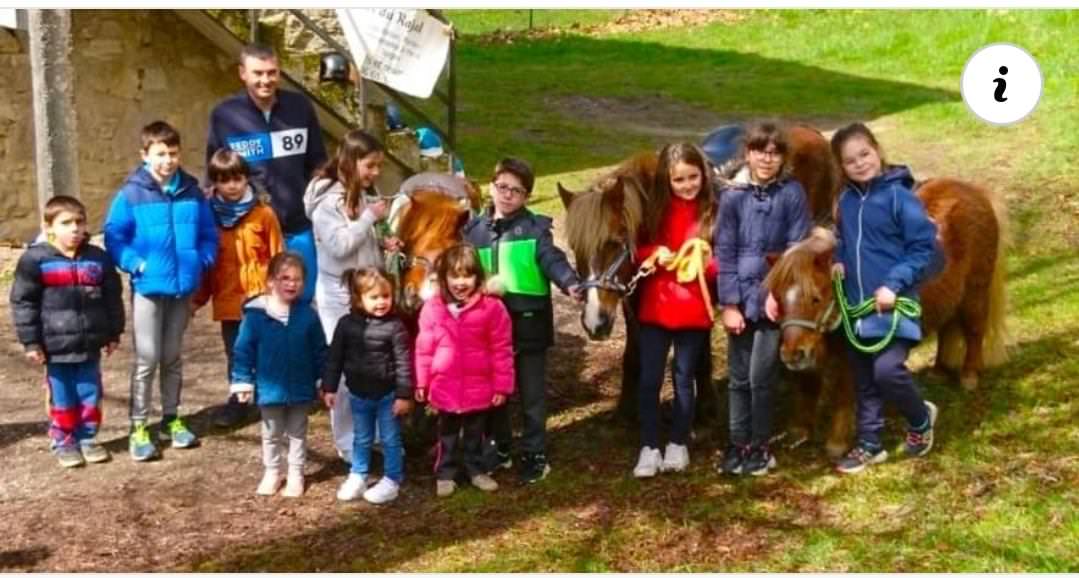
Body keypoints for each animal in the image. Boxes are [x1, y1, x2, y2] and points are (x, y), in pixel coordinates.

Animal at [763, 176, 1005, 455]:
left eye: (815, 298)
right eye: (778, 297)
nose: (792, 354)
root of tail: (974, 191)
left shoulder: (850, 355)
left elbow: (844, 394)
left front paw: (837, 442)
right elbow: (807, 387)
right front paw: (800, 432)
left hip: (976, 292)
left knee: (975, 330)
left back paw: (969, 377)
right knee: (946, 329)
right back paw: (939, 372)